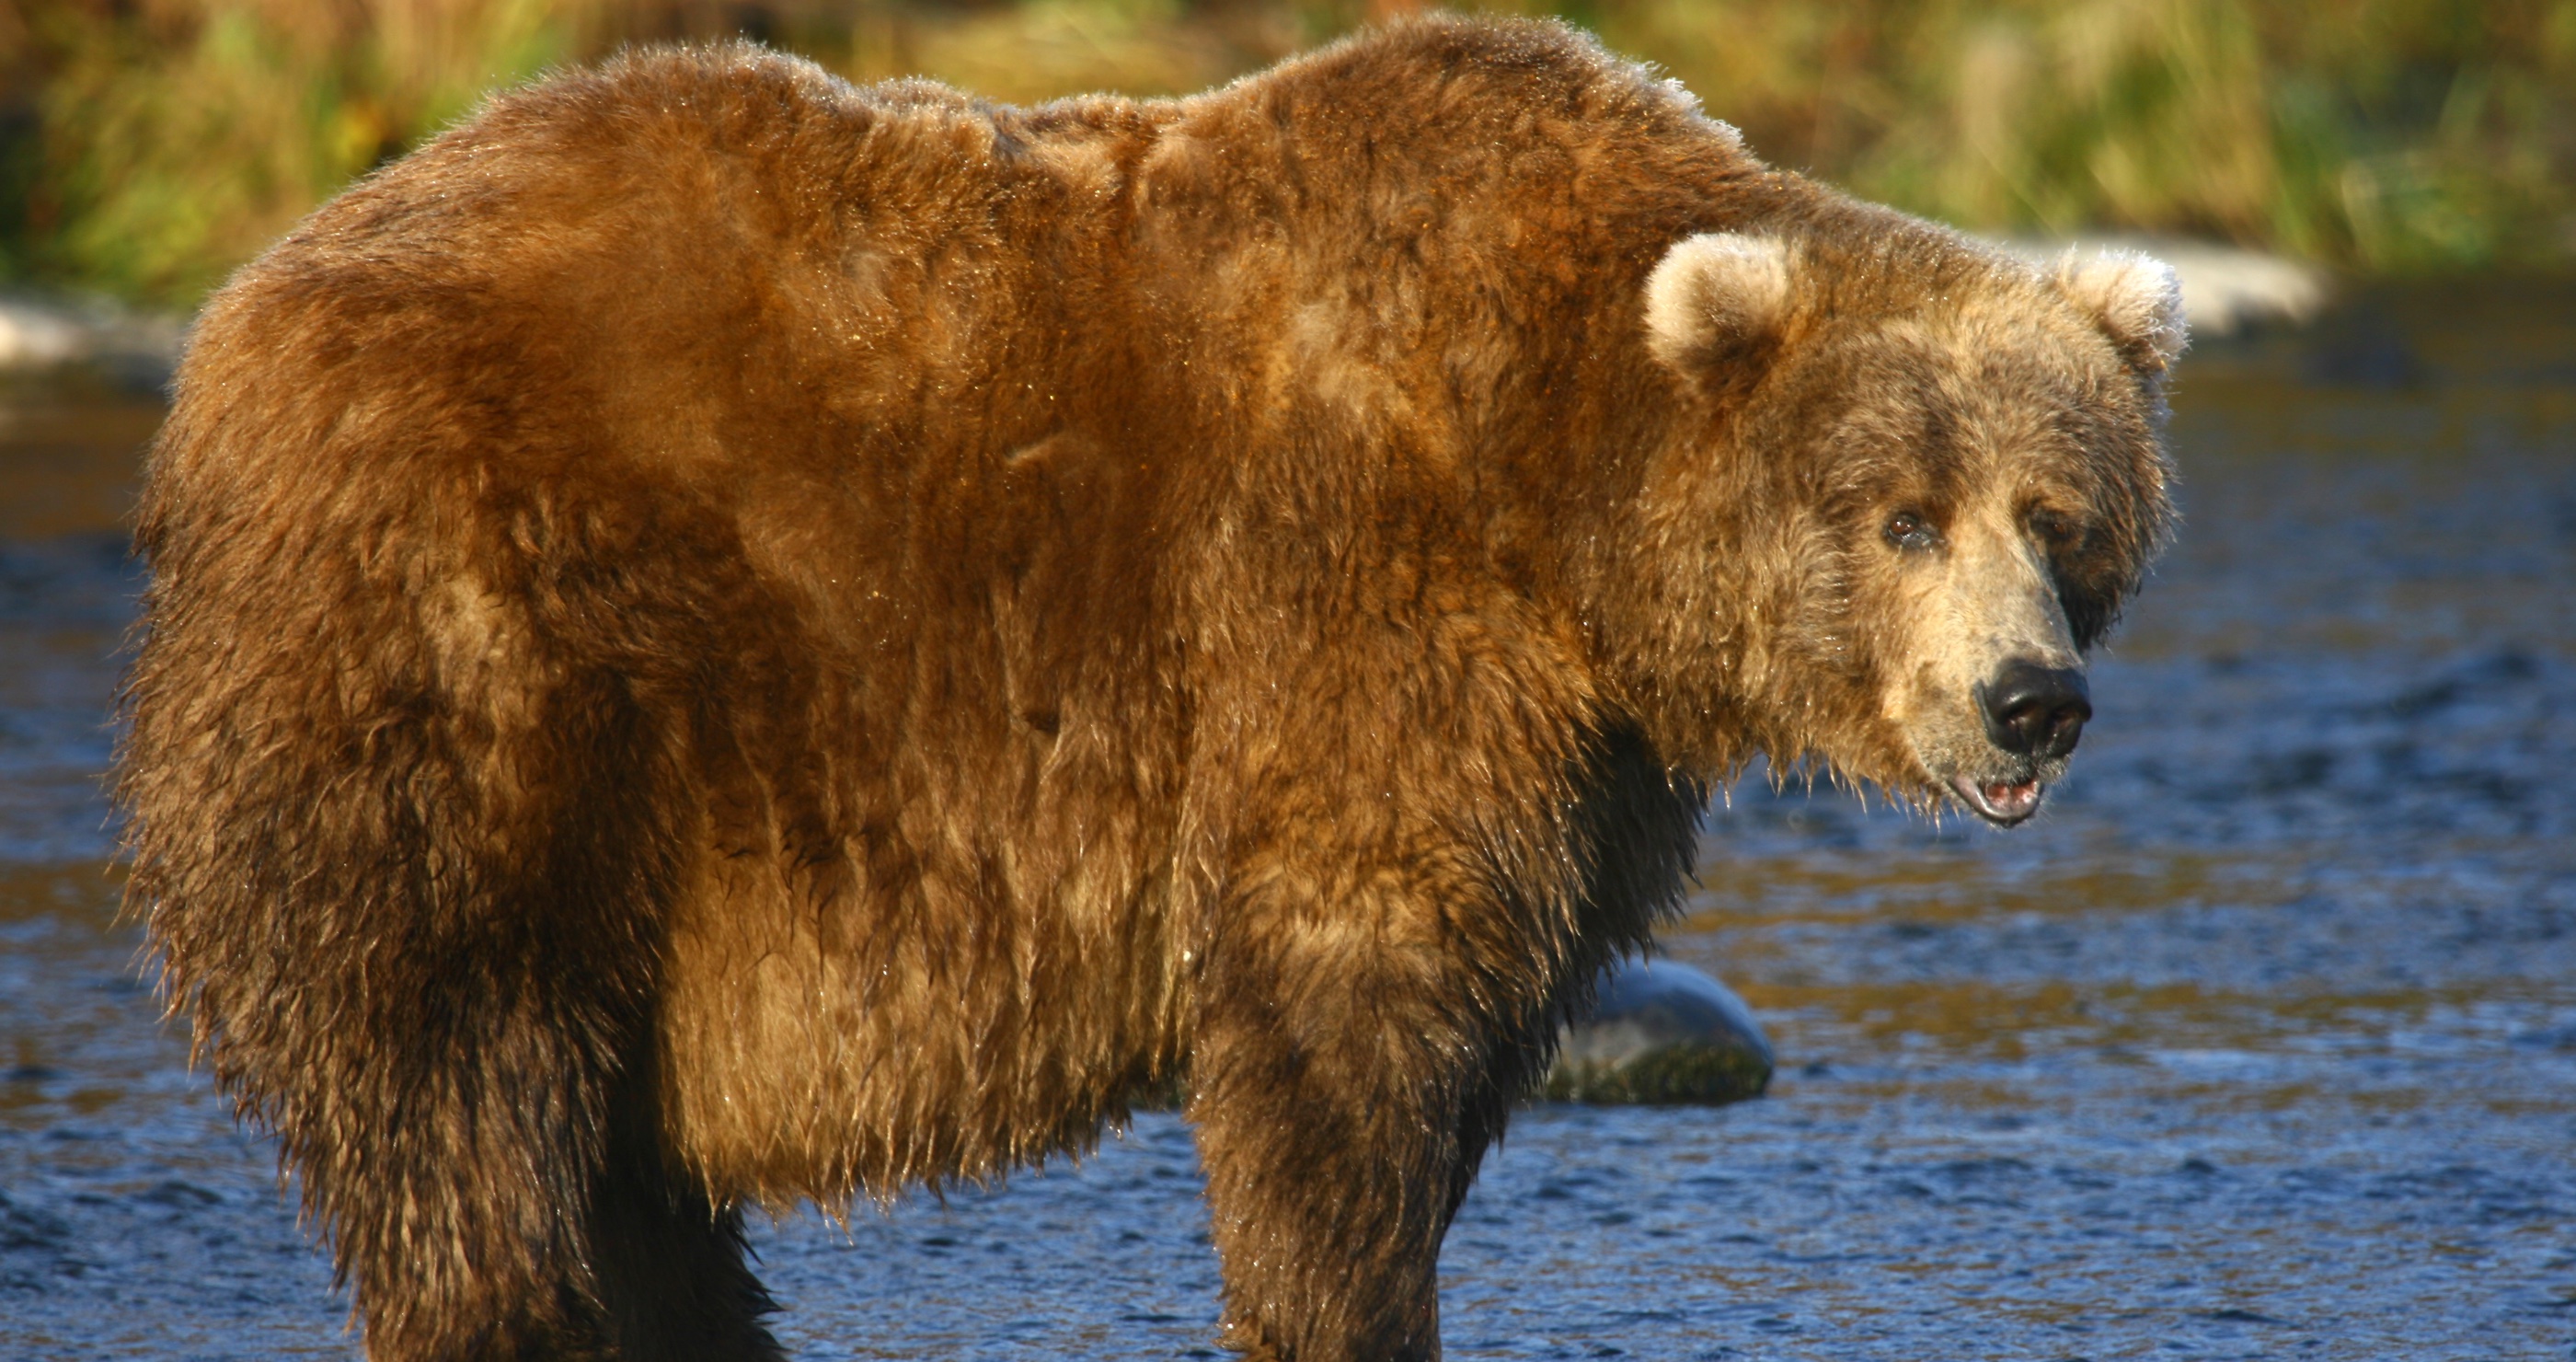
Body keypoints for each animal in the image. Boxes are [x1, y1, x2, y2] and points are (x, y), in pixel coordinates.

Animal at [117, 15, 2179, 1361]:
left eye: (2057, 511)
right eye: (1902, 513)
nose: (2029, 701)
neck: (1565, 493)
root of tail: (237, 317)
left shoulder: (1577, 762)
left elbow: (1481, 1011)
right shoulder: (1350, 613)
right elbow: (1337, 1004)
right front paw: (1339, 1295)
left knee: (611, 1156)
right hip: (488, 660)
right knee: (465, 1077)